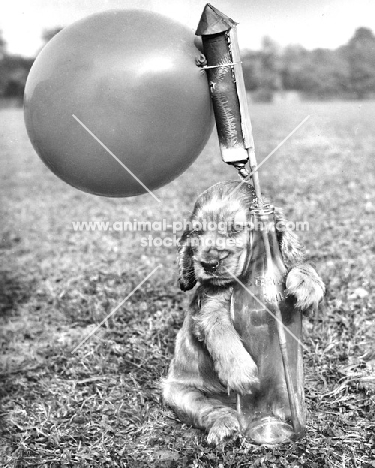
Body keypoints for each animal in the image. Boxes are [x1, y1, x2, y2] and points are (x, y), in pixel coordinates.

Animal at [163, 181, 324, 444]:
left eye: (235, 229)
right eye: (197, 233)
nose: (208, 264)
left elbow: (300, 270)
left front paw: (307, 283)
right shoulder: (207, 308)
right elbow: (219, 328)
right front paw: (241, 372)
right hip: (179, 392)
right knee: (210, 410)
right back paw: (227, 424)